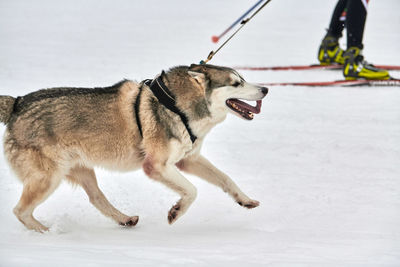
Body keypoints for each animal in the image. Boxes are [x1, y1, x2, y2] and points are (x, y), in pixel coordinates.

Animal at [0, 64, 268, 232]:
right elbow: (192, 191)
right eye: (236, 83)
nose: (265, 89)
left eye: (242, 79)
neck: (177, 106)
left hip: (82, 171)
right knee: (20, 211)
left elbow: (226, 179)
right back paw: (47, 234)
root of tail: (17, 103)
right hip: (48, 178)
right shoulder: (156, 166)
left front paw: (245, 200)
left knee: (97, 198)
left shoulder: (188, 160)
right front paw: (176, 211)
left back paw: (125, 219)